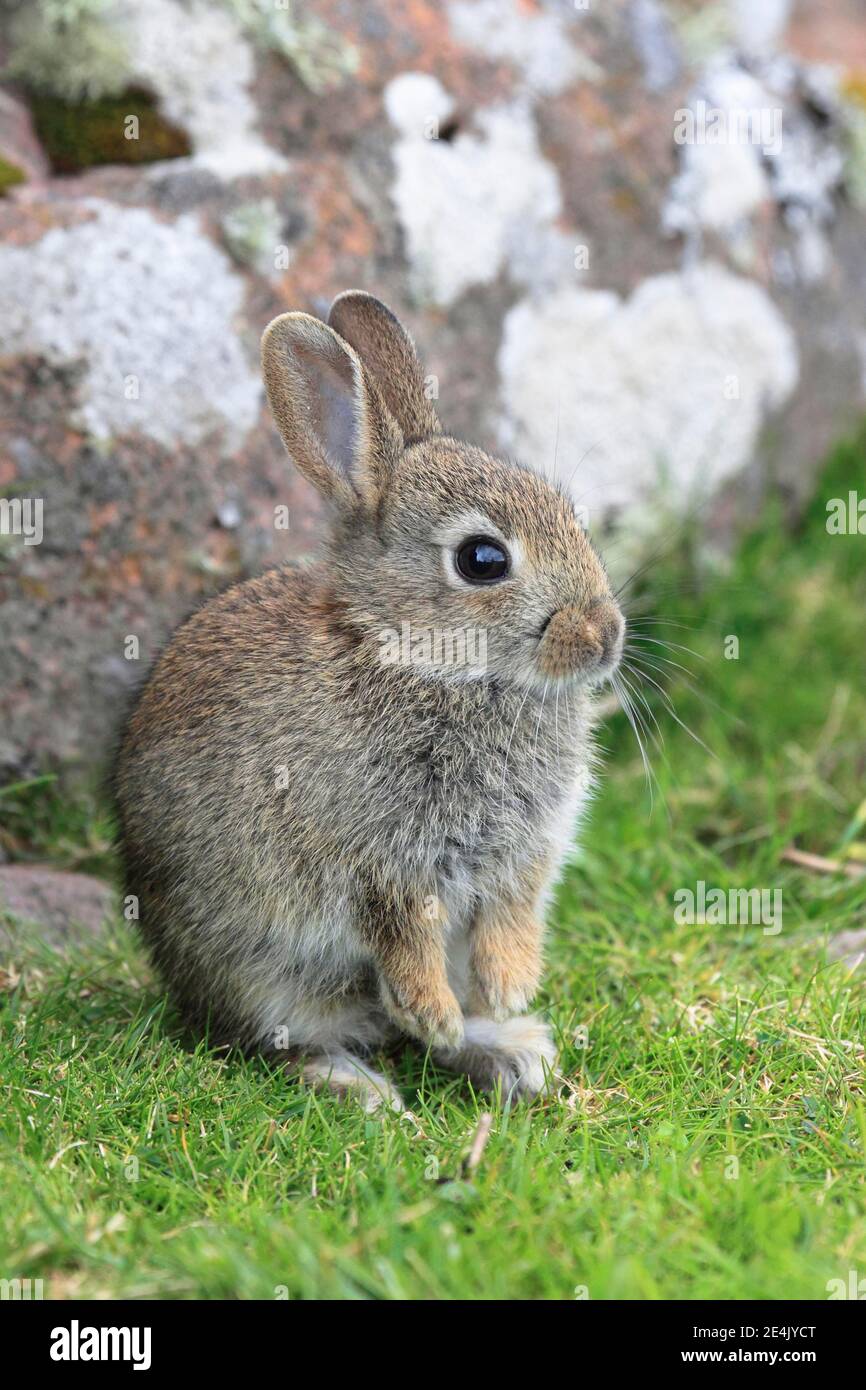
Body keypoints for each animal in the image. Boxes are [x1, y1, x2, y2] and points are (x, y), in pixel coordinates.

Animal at [115, 290, 625, 1106]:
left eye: (570, 515)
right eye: (483, 559)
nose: (606, 634)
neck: (422, 661)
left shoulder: (521, 860)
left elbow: (511, 920)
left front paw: (510, 993)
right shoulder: (379, 862)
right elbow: (402, 938)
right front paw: (437, 1014)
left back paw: (507, 1053)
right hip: (257, 974)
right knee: (278, 1038)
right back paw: (360, 1083)